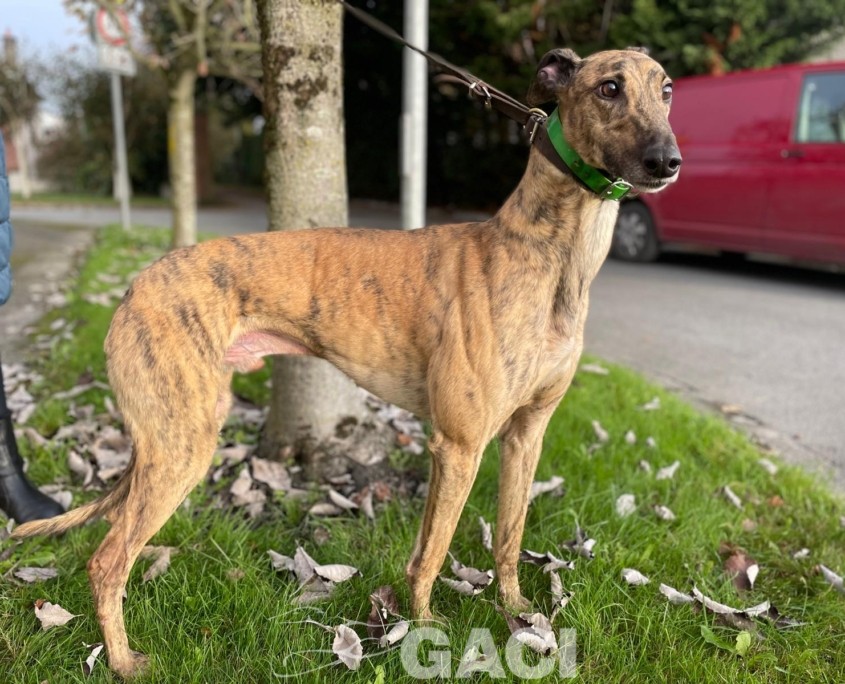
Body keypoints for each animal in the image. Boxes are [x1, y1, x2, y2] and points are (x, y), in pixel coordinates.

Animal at [14, 47, 680, 678]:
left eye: (667, 89)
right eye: (609, 87)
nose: (668, 161)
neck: (546, 258)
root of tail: (133, 288)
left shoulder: (525, 434)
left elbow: (504, 538)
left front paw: (514, 612)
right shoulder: (459, 445)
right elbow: (433, 552)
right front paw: (426, 630)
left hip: (166, 440)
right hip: (182, 444)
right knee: (107, 560)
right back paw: (123, 663)